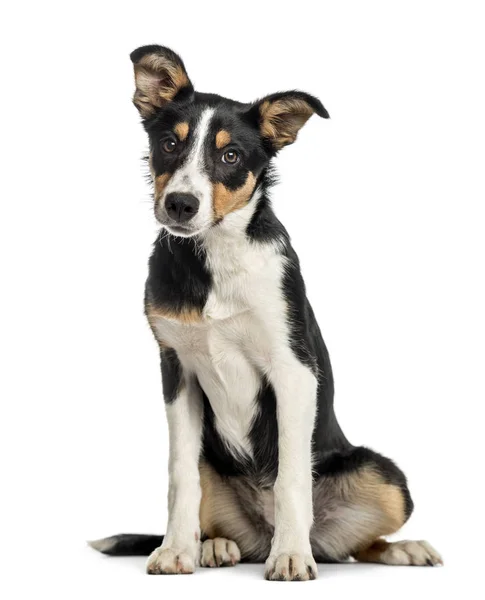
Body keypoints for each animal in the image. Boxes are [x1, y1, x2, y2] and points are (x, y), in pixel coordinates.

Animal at [88, 44, 442, 580]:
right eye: (170, 144)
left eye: (230, 155)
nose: (180, 204)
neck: (216, 257)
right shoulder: (177, 370)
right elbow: (179, 478)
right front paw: (175, 551)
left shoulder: (292, 370)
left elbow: (292, 477)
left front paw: (291, 556)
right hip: (214, 460)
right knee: (221, 516)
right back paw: (214, 547)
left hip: (385, 477)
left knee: (358, 543)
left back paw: (397, 548)